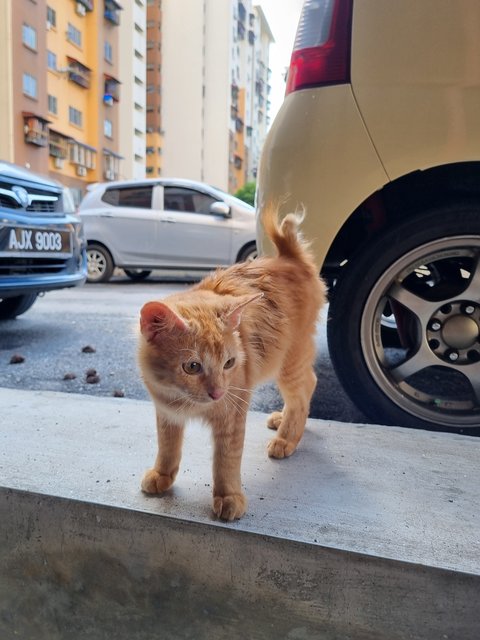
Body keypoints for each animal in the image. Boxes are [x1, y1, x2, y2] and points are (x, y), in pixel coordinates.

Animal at [139, 205, 326, 520]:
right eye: (192, 366)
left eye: (229, 363)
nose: (217, 393)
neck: (183, 401)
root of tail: (290, 257)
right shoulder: (166, 412)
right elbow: (168, 447)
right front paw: (162, 475)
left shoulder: (232, 413)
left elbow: (226, 461)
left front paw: (228, 497)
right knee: (308, 385)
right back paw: (282, 420)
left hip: (289, 361)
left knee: (302, 394)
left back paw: (287, 438)